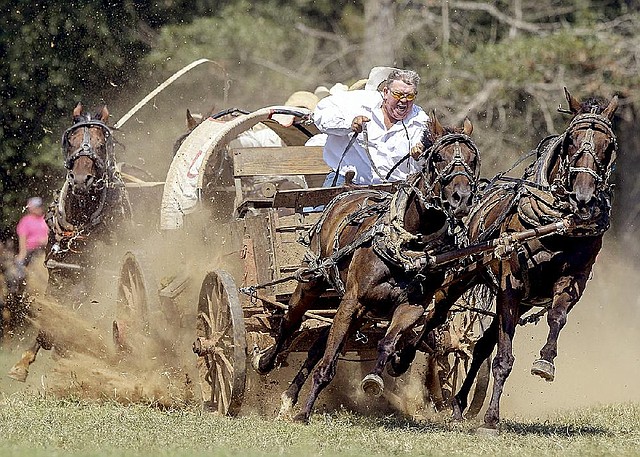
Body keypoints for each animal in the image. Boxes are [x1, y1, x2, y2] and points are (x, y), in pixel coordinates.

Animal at [8, 102, 132, 382]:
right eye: (72, 142)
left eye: (101, 144)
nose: (81, 181)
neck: (79, 222)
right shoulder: (57, 271)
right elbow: (51, 311)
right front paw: (24, 362)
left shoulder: (91, 274)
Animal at [252, 111, 482, 424]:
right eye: (438, 157)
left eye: (472, 159)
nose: (462, 199)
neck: (405, 245)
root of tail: (347, 191)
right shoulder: (353, 300)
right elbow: (326, 364)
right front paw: (305, 414)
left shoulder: (411, 308)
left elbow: (386, 342)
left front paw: (376, 377)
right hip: (312, 282)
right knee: (290, 323)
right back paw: (265, 363)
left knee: (317, 343)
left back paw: (289, 398)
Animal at [402, 86, 616, 432]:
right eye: (571, 140)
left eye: (608, 145)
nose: (583, 198)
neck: (555, 224)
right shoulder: (509, 283)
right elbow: (503, 358)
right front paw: (491, 420)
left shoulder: (573, 281)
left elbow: (557, 317)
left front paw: (545, 362)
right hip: (460, 276)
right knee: (436, 315)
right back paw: (404, 355)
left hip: (522, 301)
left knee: (480, 345)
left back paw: (459, 403)